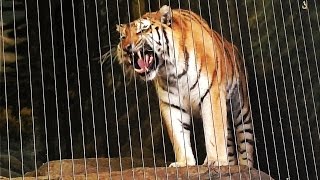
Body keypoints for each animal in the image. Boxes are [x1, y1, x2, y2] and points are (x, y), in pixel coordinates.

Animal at [116, 4, 254, 167]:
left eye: (142, 30)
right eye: (123, 37)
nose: (126, 48)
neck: (172, 69)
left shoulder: (211, 94)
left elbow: (214, 131)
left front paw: (217, 161)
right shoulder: (171, 104)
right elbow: (178, 136)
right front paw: (184, 163)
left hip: (241, 109)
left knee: (245, 139)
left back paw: (245, 166)